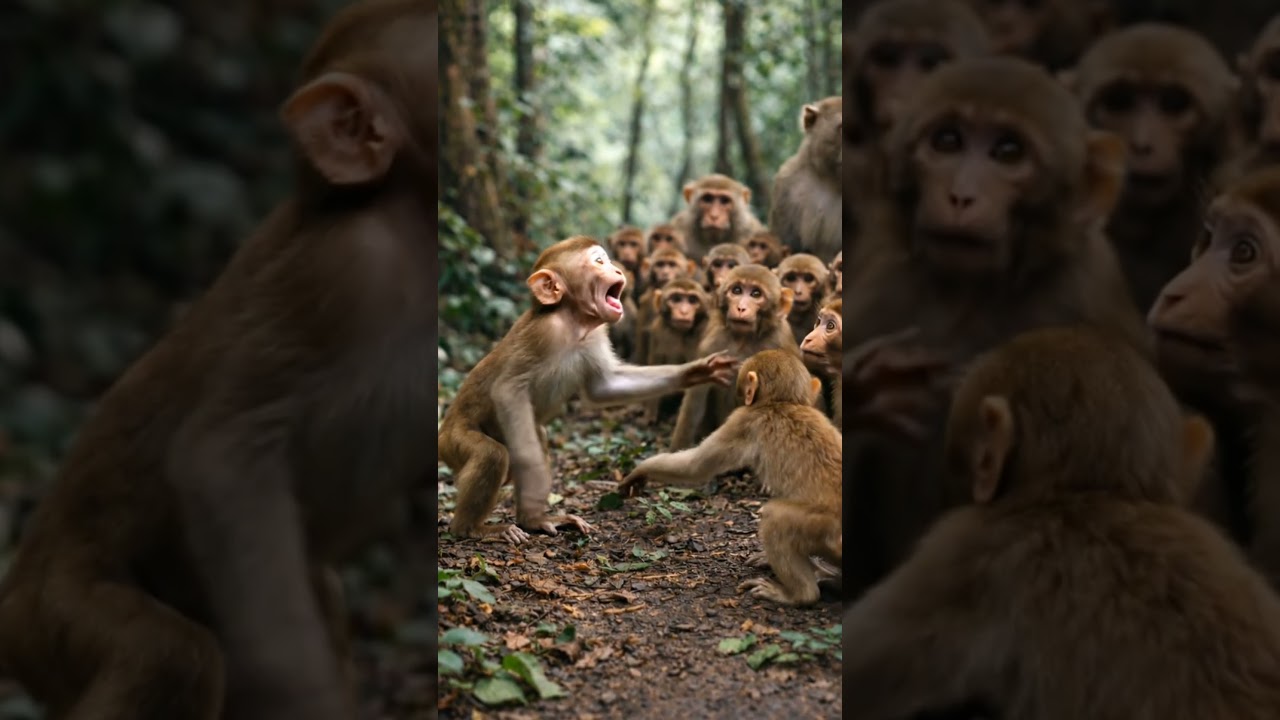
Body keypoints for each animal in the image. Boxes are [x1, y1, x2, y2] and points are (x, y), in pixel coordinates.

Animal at [619, 350, 840, 606]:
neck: (782, 401)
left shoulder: (742, 419)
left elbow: (696, 467)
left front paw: (641, 470)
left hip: (823, 529)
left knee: (774, 517)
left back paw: (800, 594)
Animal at [641, 278, 713, 425]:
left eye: (692, 300)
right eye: (676, 299)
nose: (684, 311)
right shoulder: (658, 330)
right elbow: (656, 363)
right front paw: (650, 411)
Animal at [670, 264, 799, 450]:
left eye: (756, 294)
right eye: (737, 290)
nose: (741, 308)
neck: (743, 339)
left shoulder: (780, 342)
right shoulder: (714, 343)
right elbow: (695, 400)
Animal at [841, 57, 1149, 602]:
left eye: (1008, 152)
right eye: (947, 141)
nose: (961, 195)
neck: (972, 292)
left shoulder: (1089, 295)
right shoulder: (884, 272)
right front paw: (867, 389)